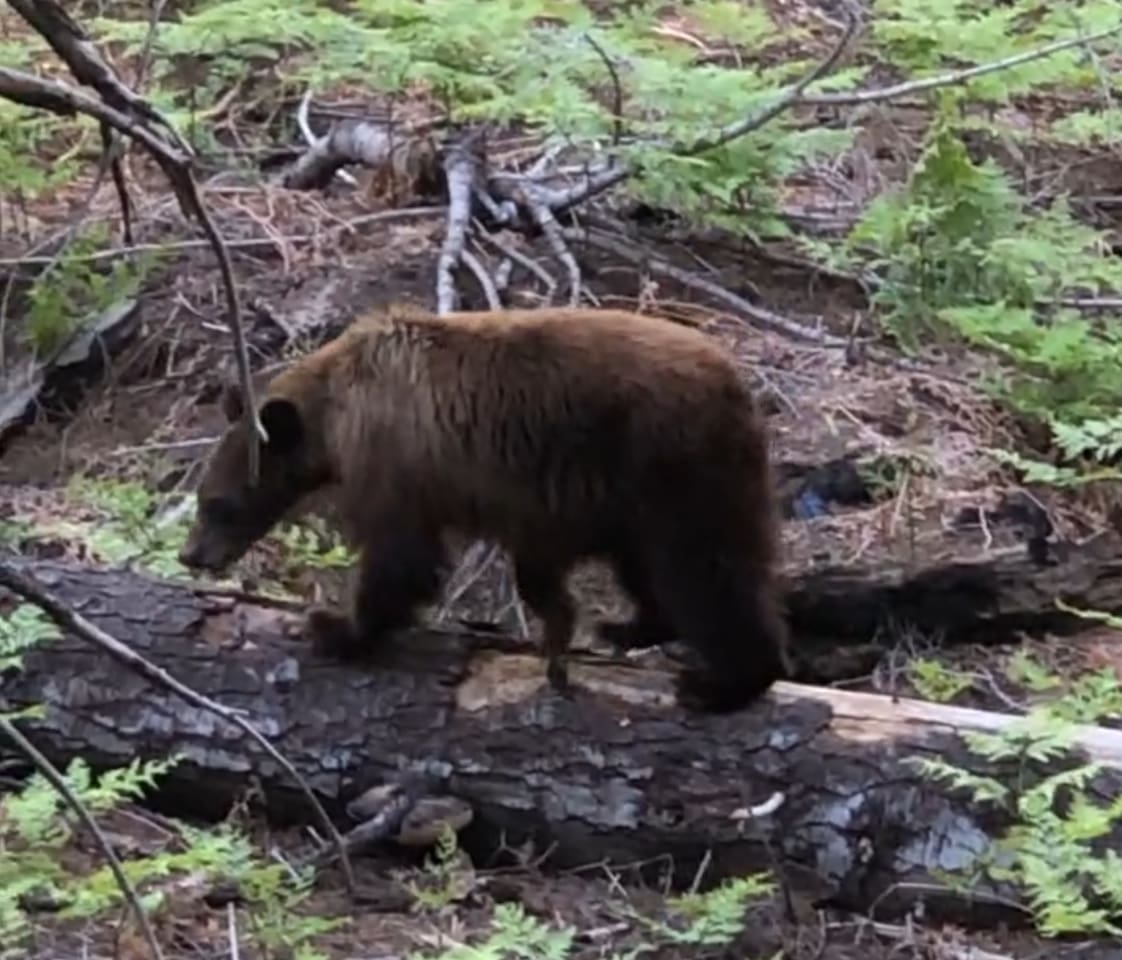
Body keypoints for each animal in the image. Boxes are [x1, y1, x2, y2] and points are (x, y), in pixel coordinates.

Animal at [178, 303, 791, 713]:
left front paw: (338, 626)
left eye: (218, 504)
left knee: (706, 568)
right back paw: (629, 626)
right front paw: (558, 629)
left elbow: (400, 554)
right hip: (641, 492)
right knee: (653, 565)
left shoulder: (394, 458)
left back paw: (724, 682)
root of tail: (740, 387)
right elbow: (533, 567)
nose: (191, 556)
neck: (334, 411)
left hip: (675, 464)